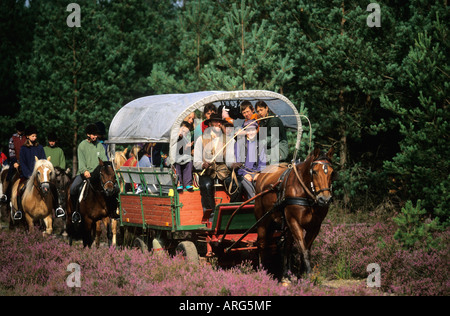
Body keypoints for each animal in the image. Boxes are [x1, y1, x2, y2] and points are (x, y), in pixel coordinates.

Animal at [253, 148, 334, 282]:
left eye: (332, 173)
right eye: (315, 172)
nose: (325, 199)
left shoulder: (315, 226)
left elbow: (305, 249)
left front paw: (301, 275)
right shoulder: (294, 222)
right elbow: (304, 249)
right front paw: (309, 275)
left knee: (287, 246)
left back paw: (285, 275)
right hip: (263, 220)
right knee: (262, 243)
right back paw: (262, 271)